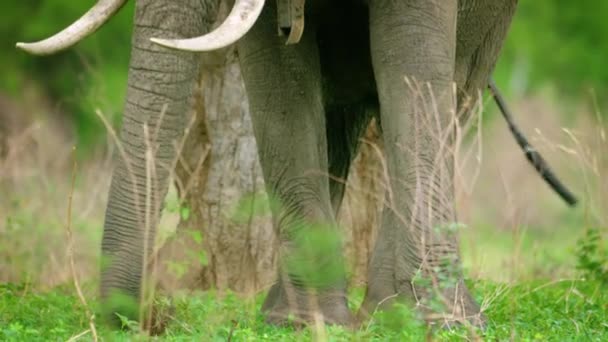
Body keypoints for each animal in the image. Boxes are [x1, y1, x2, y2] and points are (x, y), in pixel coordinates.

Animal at [16, 0, 576, 328]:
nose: (145, 320)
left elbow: (411, 69)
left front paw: (440, 325)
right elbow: (281, 84)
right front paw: (305, 326)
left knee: (451, 100)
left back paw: (394, 313)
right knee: (338, 116)